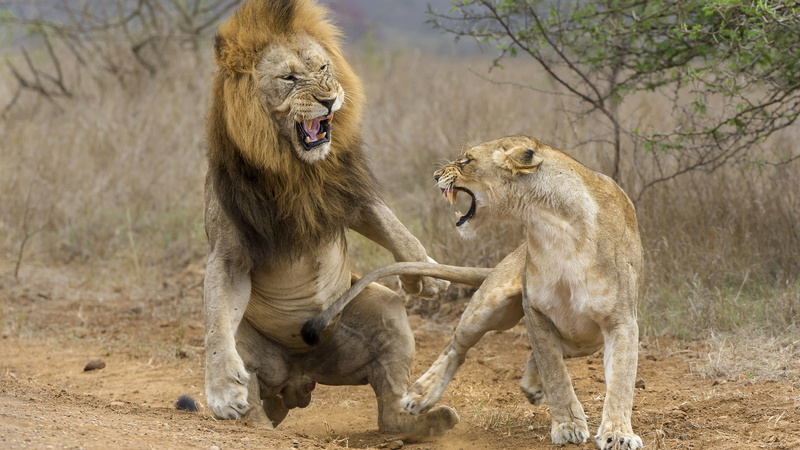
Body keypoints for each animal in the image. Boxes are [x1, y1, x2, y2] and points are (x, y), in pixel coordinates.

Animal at [202, 0, 468, 435]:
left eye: (324, 68)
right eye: (289, 78)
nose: (329, 100)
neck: (297, 170)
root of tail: (299, 374)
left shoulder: (344, 196)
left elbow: (394, 228)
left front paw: (426, 274)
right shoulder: (229, 252)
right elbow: (215, 323)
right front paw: (223, 390)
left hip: (381, 311)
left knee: (390, 412)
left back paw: (427, 422)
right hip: (252, 348)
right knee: (249, 386)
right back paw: (253, 421)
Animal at [305, 135, 643, 449]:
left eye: (467, 160)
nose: (435, 176)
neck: (552, 226)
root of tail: (516, 254)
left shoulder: (621, 321)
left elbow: (621, 381)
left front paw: (617, 433)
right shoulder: (536, 311)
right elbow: (555, 373)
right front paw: (568, 425)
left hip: (584, 338)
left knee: (550, 352)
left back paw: (532, 386)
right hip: (490, 307)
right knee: (457, 347)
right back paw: (420, 394)